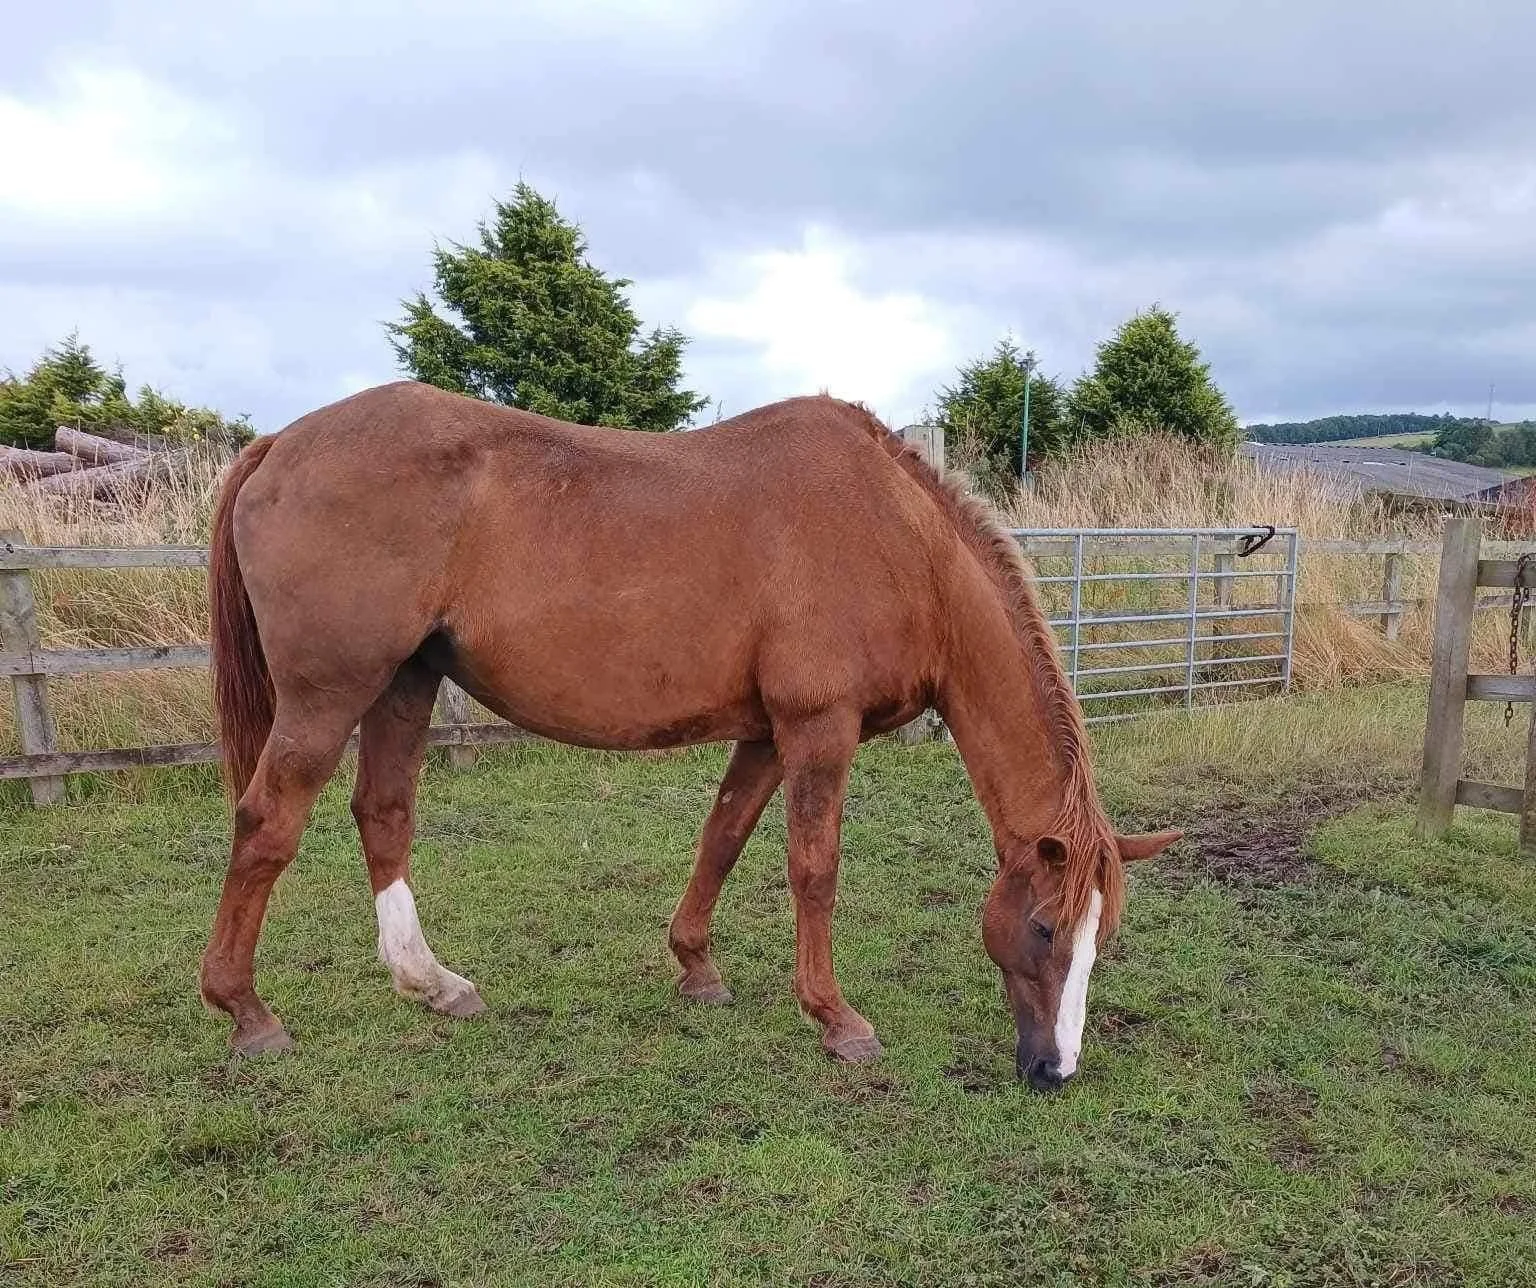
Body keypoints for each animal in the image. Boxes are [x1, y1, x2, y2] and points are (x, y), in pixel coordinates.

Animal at [201, 382, 1179, 1089]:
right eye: (1046, 929)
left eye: (1102, 934)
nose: (1055, 1070)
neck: (900, 541)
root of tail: (280, 443)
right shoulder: (819, 729)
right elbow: (813, 870)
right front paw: (836, 1020)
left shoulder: (769, 735)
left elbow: (724, 836)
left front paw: (696, 968)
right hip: (327, 696)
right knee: (267, 825)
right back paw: (246, 1012)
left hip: (405, 682)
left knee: (383, 814)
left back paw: (431, 983)